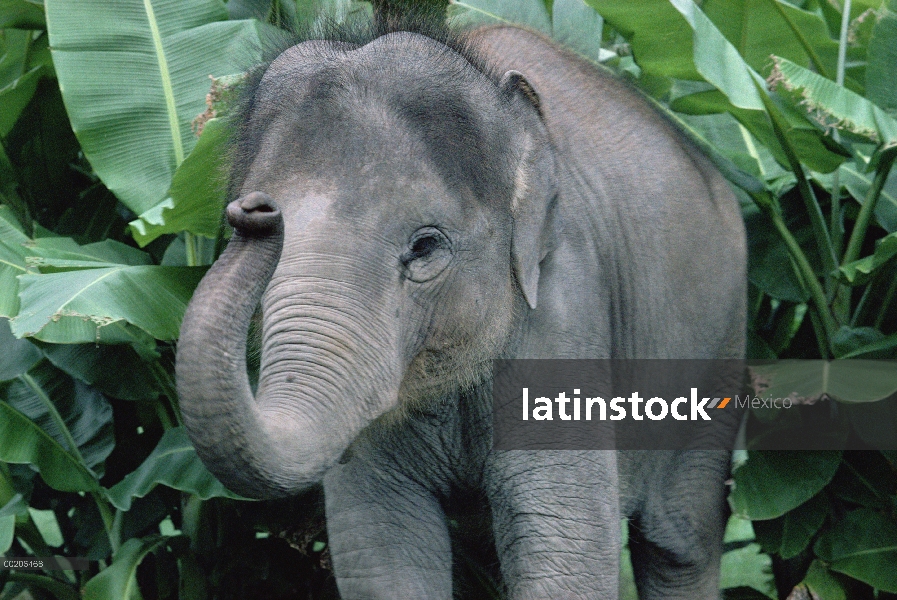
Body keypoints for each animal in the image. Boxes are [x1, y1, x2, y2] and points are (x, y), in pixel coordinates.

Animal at [175, 19, 744, 600]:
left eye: (425, 246)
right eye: (238, 207)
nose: (255, 211)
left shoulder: (567, 310)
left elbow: (564, 558)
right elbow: (382, 557)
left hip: (723, 351)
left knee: (680, 545)